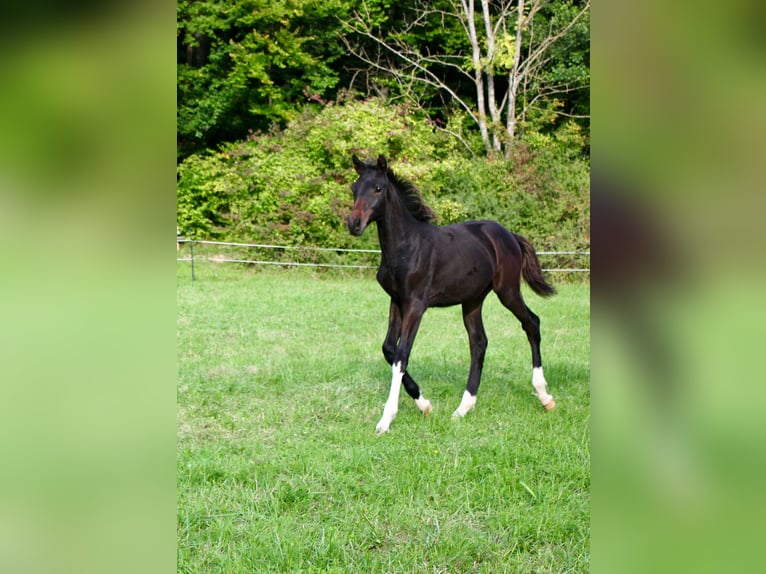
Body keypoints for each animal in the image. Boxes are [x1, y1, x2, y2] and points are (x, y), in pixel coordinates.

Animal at [347, 154, 557, 435]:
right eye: (354, 188)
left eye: (378, 188)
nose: (354, 224)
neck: (406, 246)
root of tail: (510, 235)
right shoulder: (397, 301)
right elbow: (389, 349)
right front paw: (424, 404)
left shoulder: (416, 304)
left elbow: (401, 355)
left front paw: (386, 419)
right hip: (472, 300)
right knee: (478, 343)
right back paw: (463, 408)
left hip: (508, 291)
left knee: (531, 323)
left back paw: (544, 396)